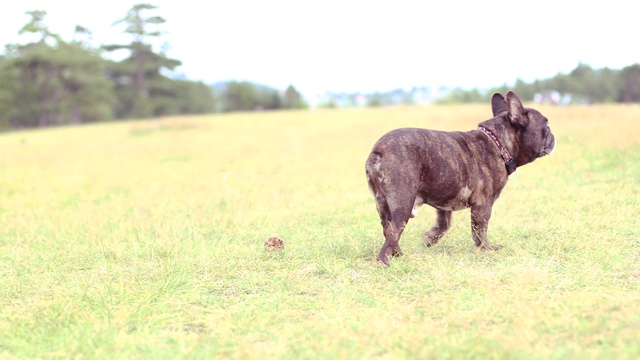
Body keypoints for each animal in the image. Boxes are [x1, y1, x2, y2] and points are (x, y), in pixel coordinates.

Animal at [364, 90, 556, 264]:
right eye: (546, 127)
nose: (553, 137)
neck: (499, 143)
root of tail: (378, 152)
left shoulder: (444, 200)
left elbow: (444, 223)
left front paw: (429, 238)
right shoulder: (483, 204)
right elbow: (480, 229)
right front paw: (486, 248)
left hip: (382, 204)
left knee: (387, 228)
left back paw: (398, 254)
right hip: (403, 202)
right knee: (393, 231)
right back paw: (385, 261)